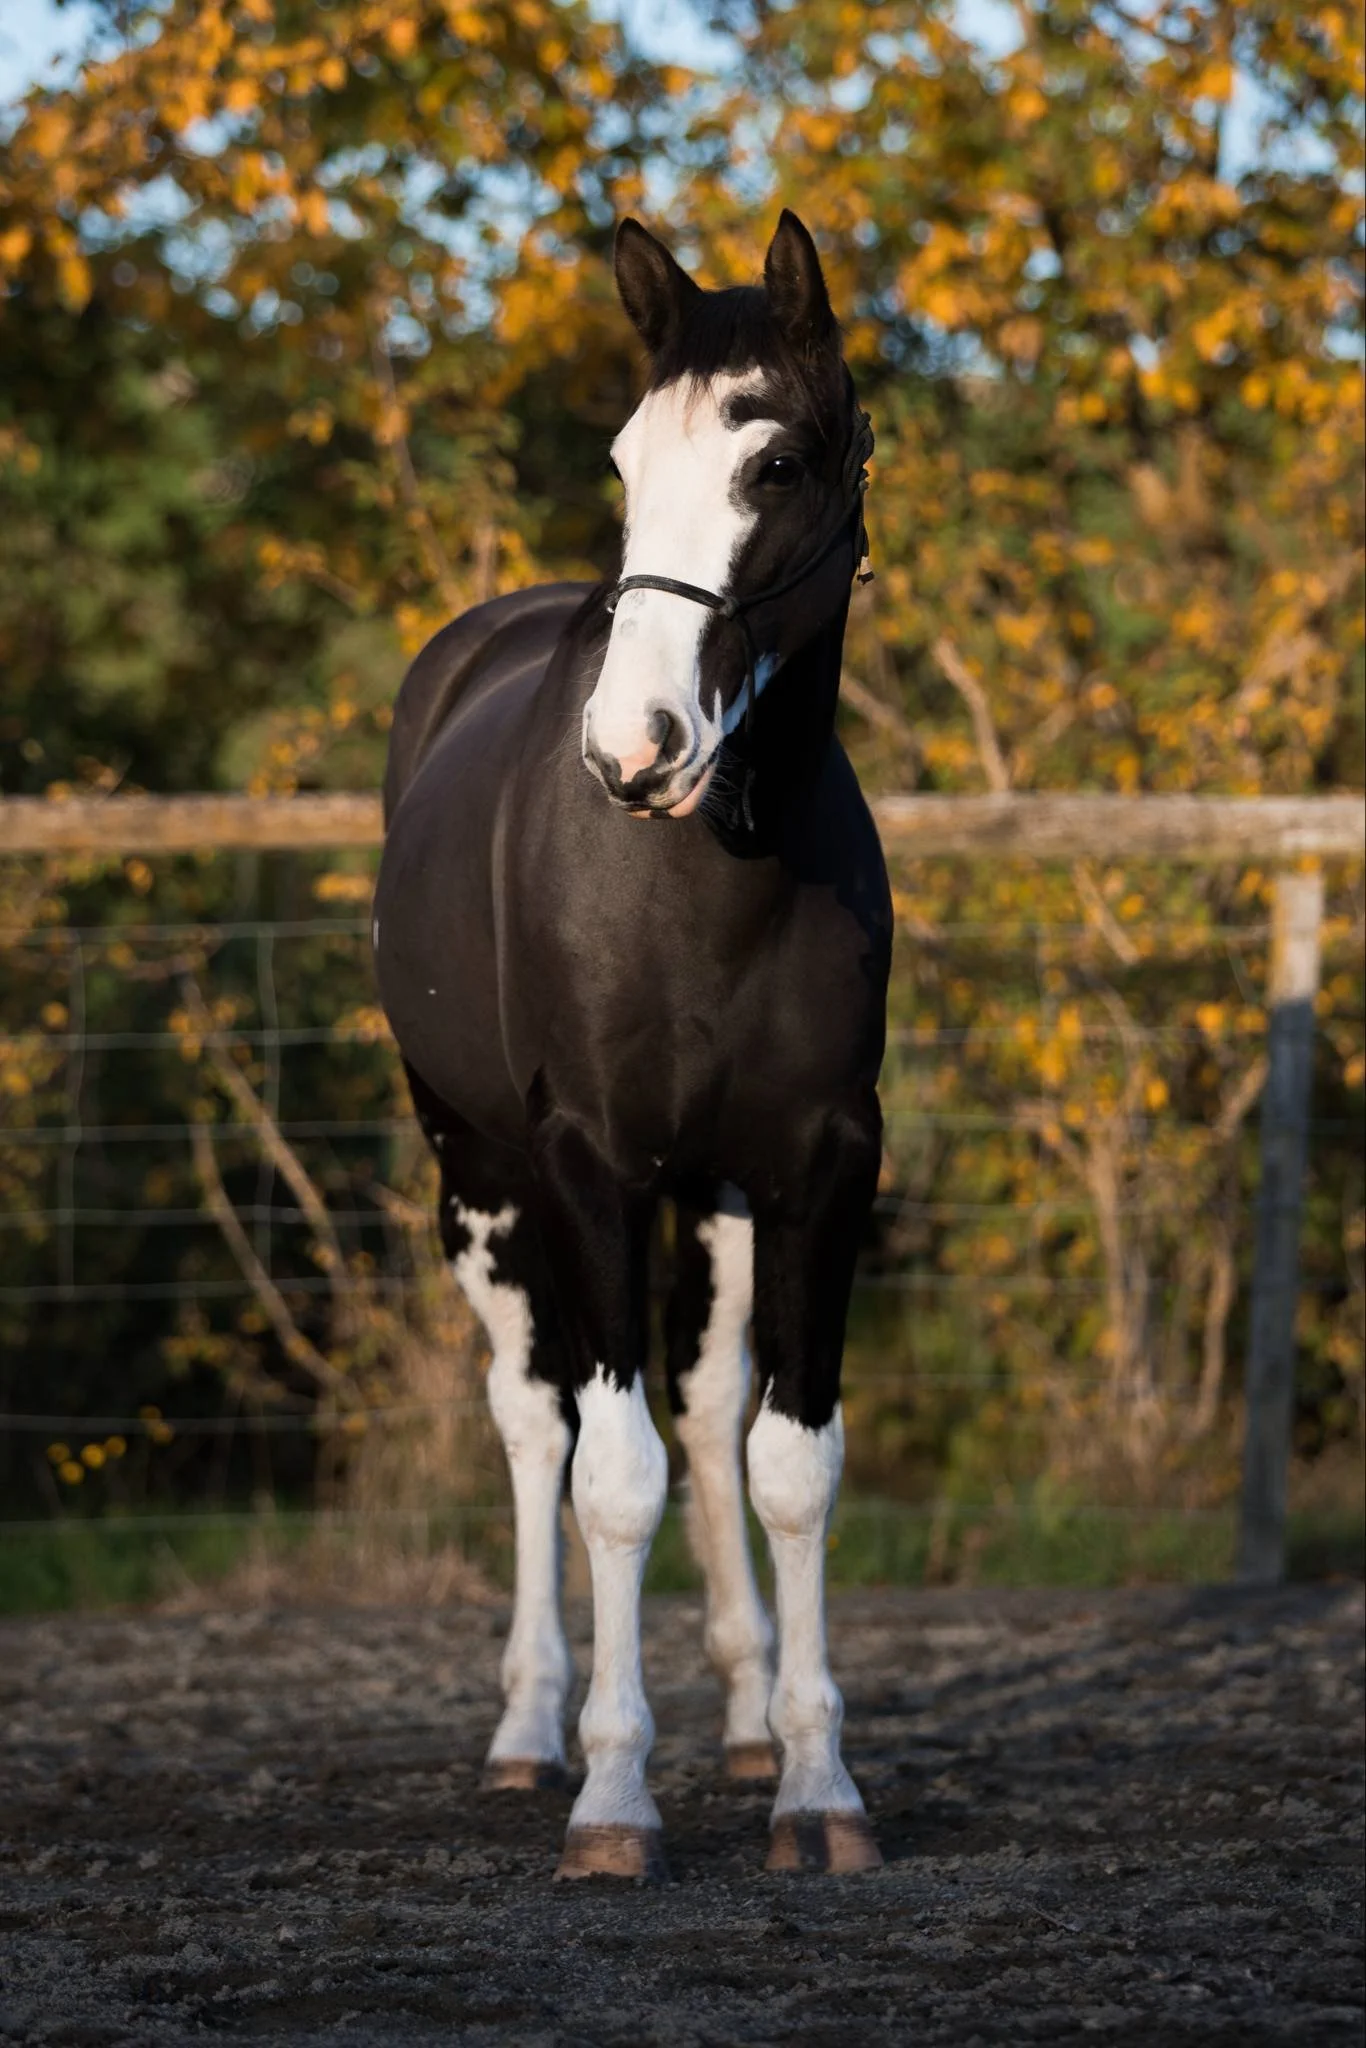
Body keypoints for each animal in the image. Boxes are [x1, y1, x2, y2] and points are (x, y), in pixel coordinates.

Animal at [373, 210, 892, 1880]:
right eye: (619, 459)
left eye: (775, 460)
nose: (633, 749)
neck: (709, 883)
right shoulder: (588, 1164)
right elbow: (611, 1479)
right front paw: (611, 1797)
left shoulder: (817, 1168)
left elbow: (787, 1462)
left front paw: (814, 1781)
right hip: (480, 1177)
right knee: (535, 1418)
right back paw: (530, 1732)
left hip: (712, 1197)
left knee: (709, 1411)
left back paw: (742, 1720)